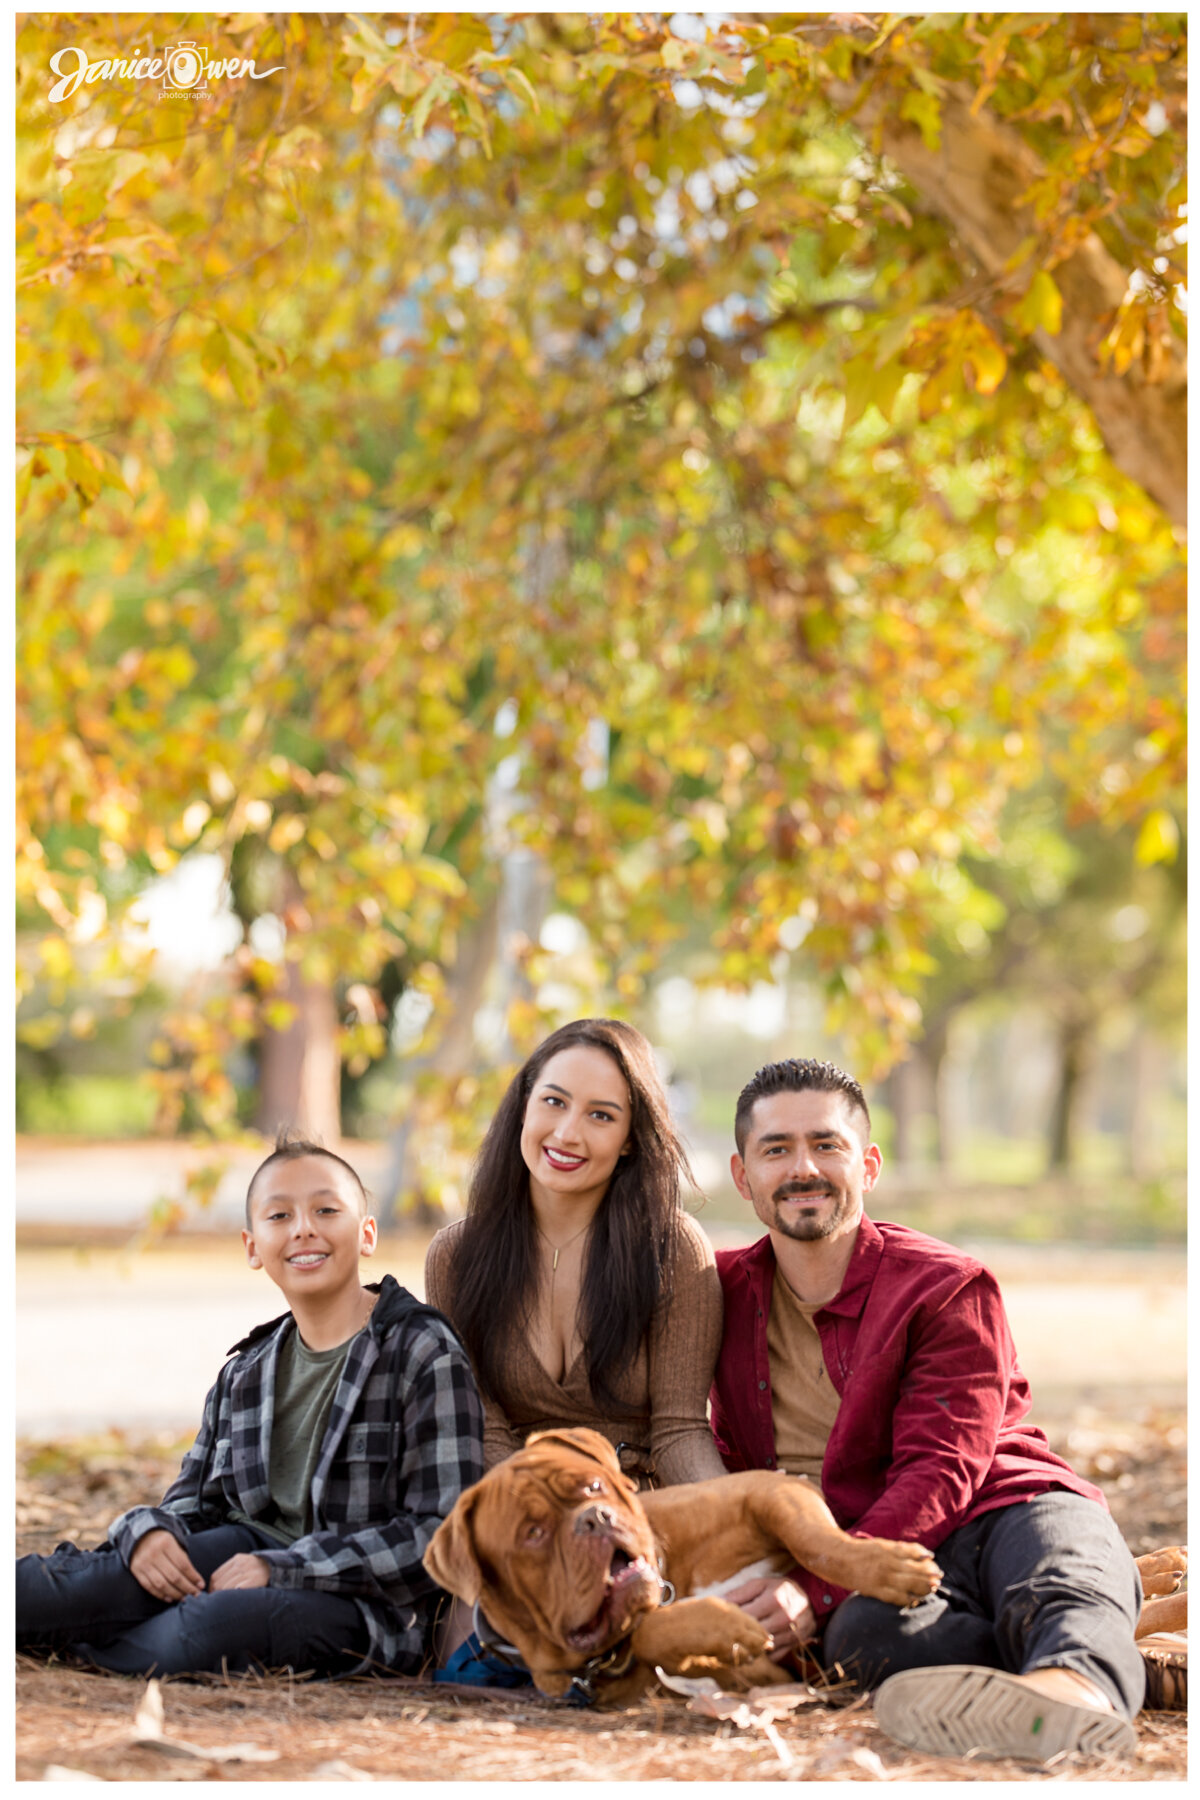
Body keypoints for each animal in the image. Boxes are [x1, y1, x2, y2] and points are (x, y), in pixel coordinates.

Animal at [426, 1432, 942, 1699]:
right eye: (532, 1533)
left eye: (594, 1486)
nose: (594, 1519)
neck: (670, 1579)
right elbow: (652, 1634)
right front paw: (725, 1627)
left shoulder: (772, 1491)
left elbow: (817, 1543)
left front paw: (894, 1567)